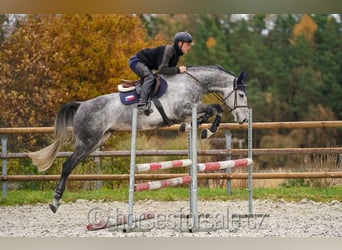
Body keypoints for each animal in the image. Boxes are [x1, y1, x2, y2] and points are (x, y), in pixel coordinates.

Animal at [27, 65, 248, 213]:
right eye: (242, 95)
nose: (244, 119)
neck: (191, 83)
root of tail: (81, 105)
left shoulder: (187, 111)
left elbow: (211, 111)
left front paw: (199, 127)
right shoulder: (180, 111)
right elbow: (213, 108)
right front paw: (207, 130)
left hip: (97, 141)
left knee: (71, 165)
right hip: (87, 141)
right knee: (67, 165)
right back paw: (55, 202)